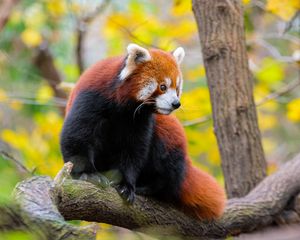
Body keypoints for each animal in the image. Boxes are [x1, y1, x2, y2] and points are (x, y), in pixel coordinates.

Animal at [60, 42, 225, 219]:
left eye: (177, 88)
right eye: (163, 87)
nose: (176, 103)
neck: (123, 107)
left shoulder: (140, 121)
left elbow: (134, 150)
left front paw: (127, 185)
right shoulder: (91, 99)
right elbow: (77, 138)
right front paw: (88, 174)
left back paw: (148, 187)